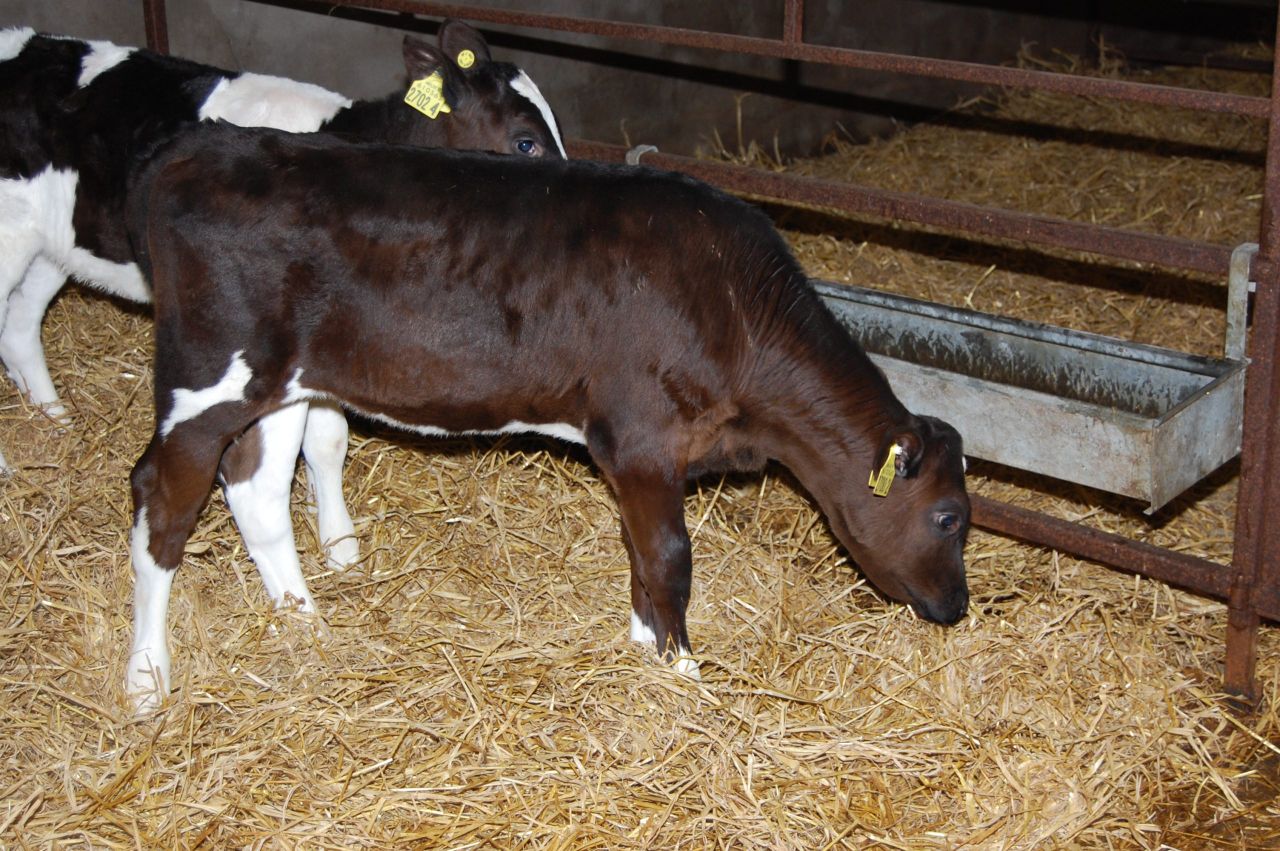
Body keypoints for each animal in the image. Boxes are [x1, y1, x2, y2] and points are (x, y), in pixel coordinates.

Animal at [0, 20, 565, 571]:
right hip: (12, 236)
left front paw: (339, 543)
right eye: (525, 143)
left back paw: (54, 418)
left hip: (54, 245)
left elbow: (329, 440)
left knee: (20, 325)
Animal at [121, 122, 971, 713]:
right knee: (161, 500)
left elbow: (641, 553)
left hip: (279, 386)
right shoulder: (643, 436)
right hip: (204, 379)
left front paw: (643, 645)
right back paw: (146, 677)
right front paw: (684, 670)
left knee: (256, 491)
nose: (957, 607)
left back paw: (305, 625)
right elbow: (669, 556)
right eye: (949, 517)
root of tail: (201, 147)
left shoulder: (635, 452)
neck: (736, 309)